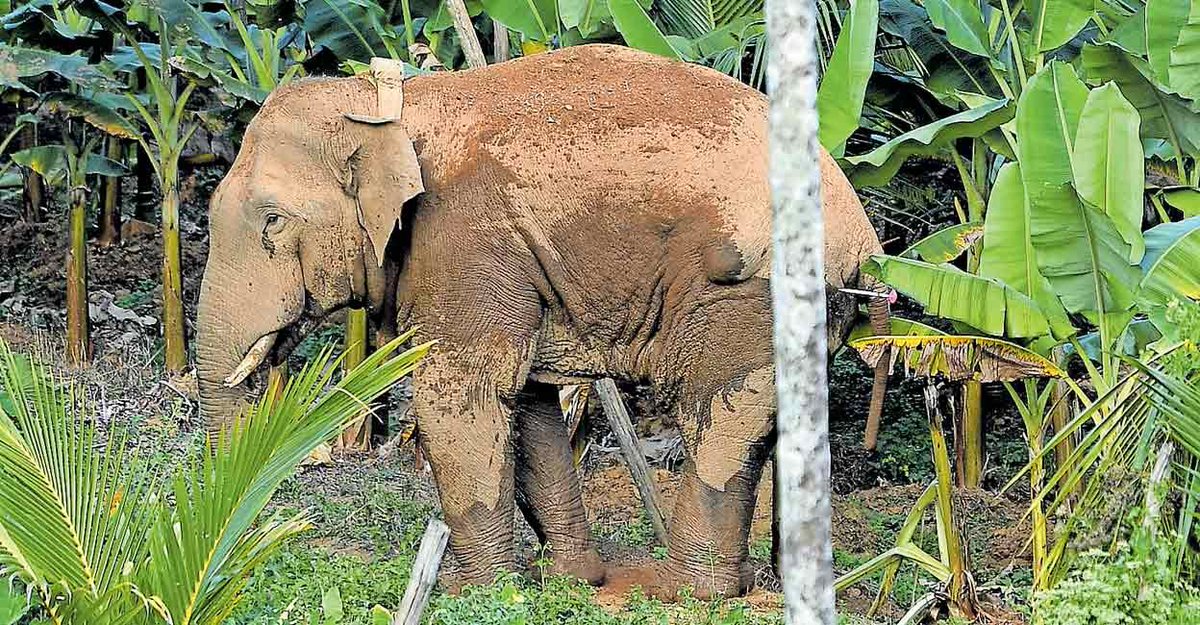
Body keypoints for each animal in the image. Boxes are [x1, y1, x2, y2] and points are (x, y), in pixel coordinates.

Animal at [196, 44, 890, 599]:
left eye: (272, 221)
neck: (397, 104)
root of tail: (864, 239)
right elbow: (526, 404)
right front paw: (569, 580)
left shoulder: (468, 242)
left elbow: (463, 400)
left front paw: (474, 591)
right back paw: (769, 584)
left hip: (747, 293)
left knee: (718, 420)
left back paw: (688, 592)